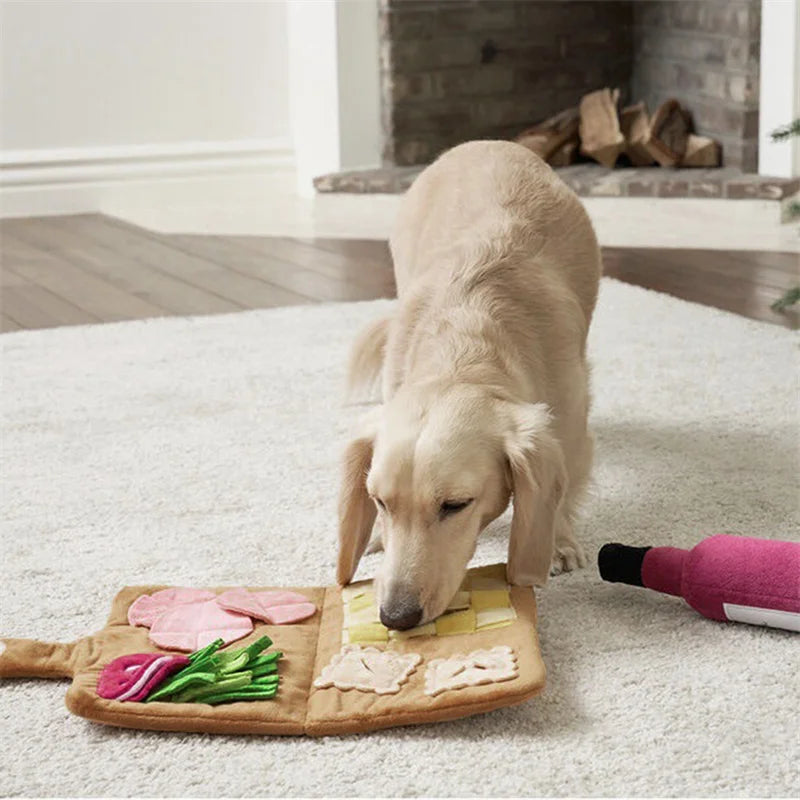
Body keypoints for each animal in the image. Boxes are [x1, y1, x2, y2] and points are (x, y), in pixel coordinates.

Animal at [336, 142, 600, 632]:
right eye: (379, 501)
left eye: (456, 505)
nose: (396, 616)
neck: (464, 350)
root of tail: (485, 144)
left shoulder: (570, 429)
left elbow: (563, 488)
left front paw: (558, 544)